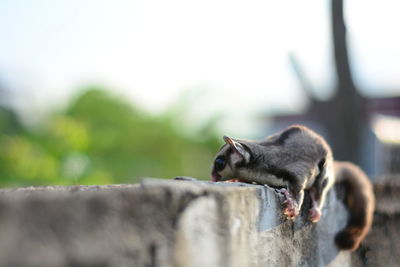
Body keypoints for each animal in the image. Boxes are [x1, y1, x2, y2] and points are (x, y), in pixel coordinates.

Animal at [212, 125, 376, 251]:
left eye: (219, 163)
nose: (212, 178)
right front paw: (237, 178)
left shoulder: (295, 170)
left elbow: (298, 189)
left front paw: (293, 206)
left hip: (325, 169)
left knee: (320, 187)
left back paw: (316, 208)